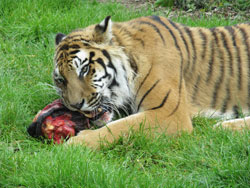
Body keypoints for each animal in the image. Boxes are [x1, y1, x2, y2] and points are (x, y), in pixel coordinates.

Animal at [53, 15, 250, 148]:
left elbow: (121, 127)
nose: (76, 106)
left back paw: (224, 127)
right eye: (61, 80)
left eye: (84, 69)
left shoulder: (170, 113)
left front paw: (76, 144)